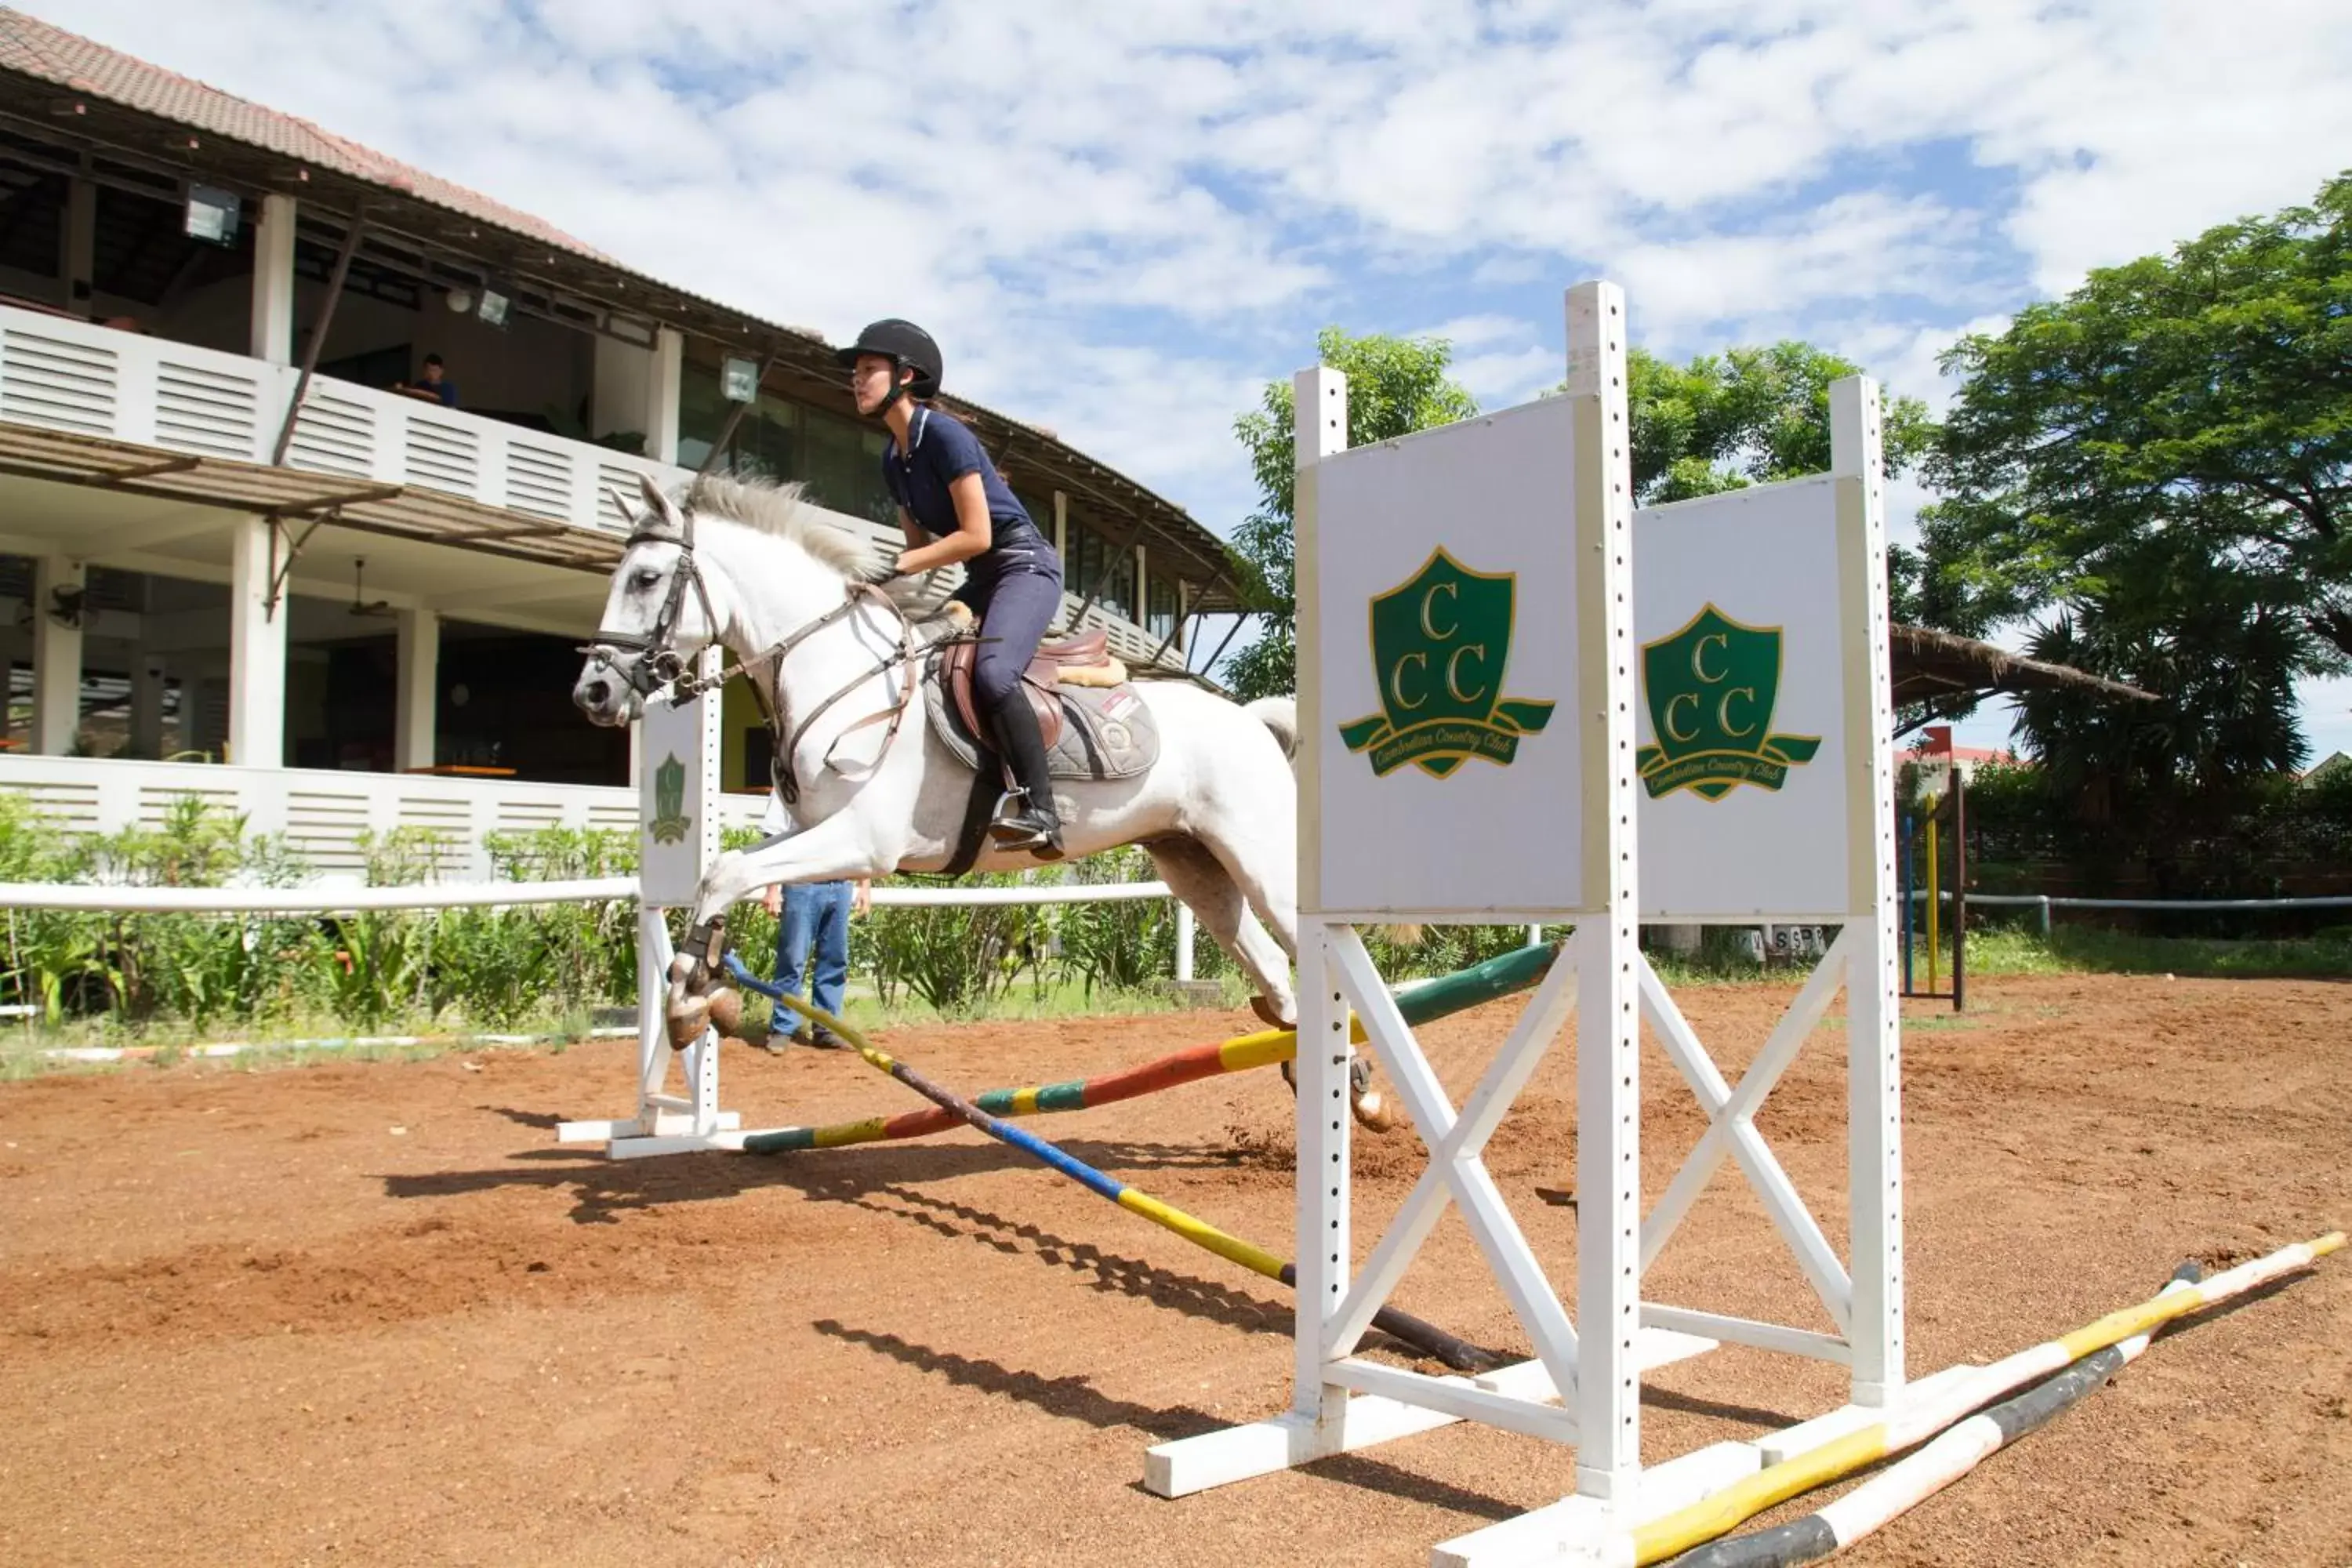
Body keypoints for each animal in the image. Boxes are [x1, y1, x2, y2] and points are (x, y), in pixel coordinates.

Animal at [569, 472, 1345, 1091]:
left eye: (644, 579)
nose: (593, 694)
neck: (843, 674)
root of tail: (1251, 721)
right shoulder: (811, 833)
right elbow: (721, 872)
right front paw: (691, 995)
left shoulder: (863, 841)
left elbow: (728, 872)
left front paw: (691, 998)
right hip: (1193, 866)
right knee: (1274, 971)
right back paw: (1334, 1083)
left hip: (1262, 863)